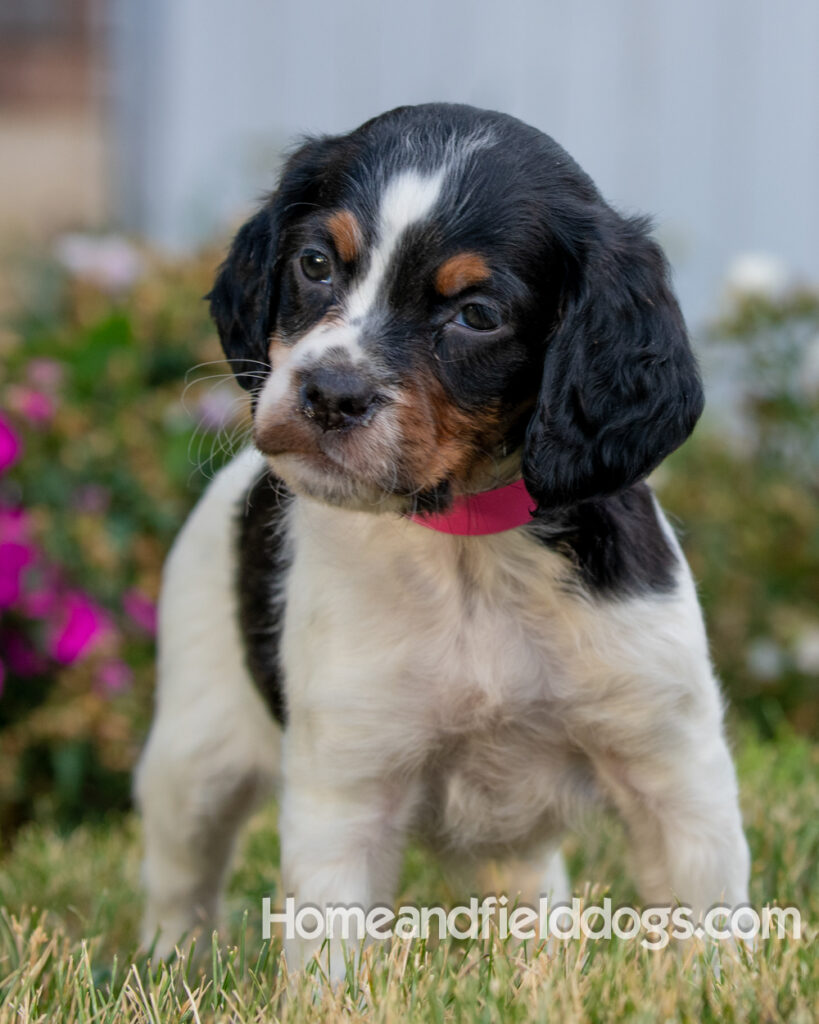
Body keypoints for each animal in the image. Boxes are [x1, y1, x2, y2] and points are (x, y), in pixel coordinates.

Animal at [133, 101, 749, 966]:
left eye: (476, 316)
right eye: (315, 264)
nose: (328, 393)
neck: (468, 547)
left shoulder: (673, 767)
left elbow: (710, 928)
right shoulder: (345, 790)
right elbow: (329, 950)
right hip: (194, 757)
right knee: (179, 878)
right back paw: (168, 962)